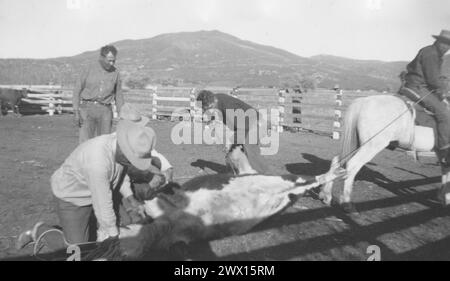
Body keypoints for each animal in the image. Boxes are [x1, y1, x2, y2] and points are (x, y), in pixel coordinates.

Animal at [320, 93, 450, 211]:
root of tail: (362, 102)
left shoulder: (441, 153)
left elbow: (445, 172)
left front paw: (444, 198)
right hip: (371, 146)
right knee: (352, 165)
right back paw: (347, 203)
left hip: (356, 144)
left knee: (337, 161)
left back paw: (327, 196)